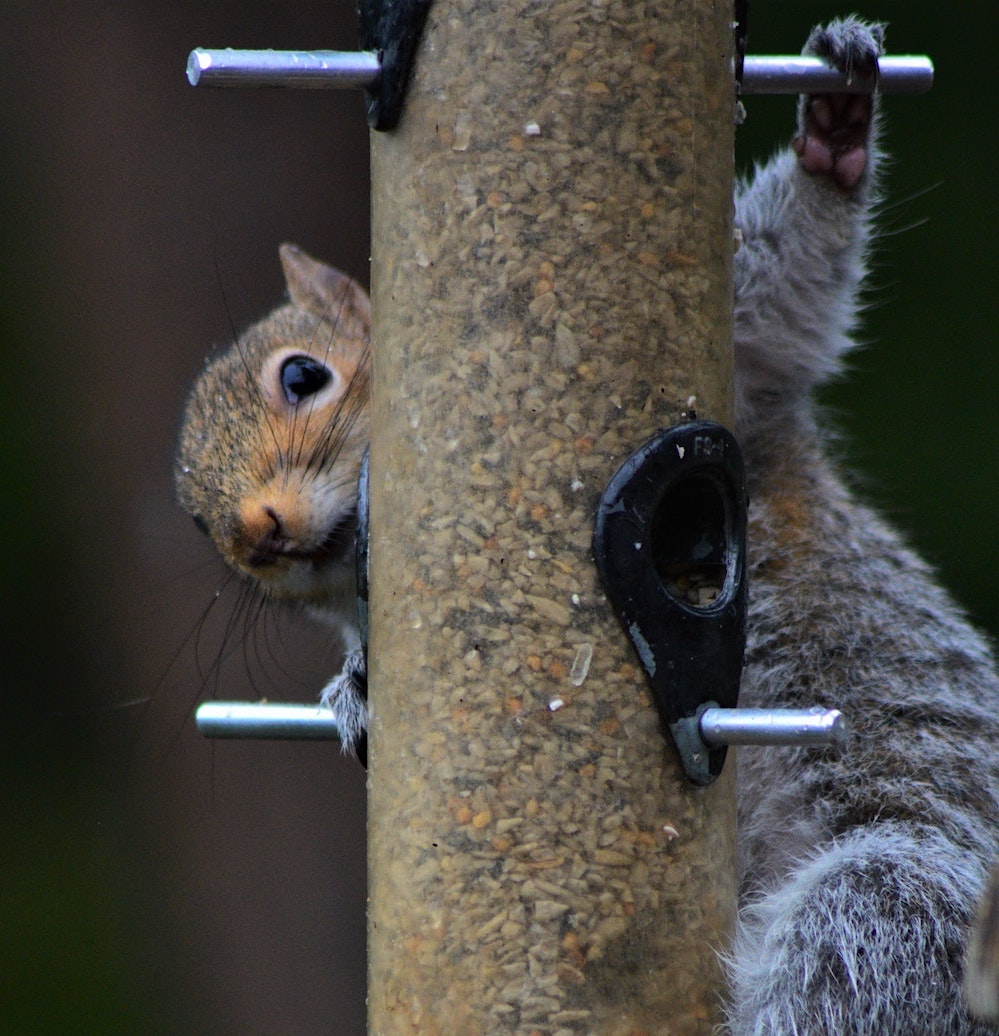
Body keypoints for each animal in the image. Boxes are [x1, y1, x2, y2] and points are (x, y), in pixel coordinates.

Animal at [174, 16, 999, 1033]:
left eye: (301, 375)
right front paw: (353, 689)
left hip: (903, 894)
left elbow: (786, 291)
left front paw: (835, 131)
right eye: (195, 522)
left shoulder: (746, 370)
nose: (258, 534)